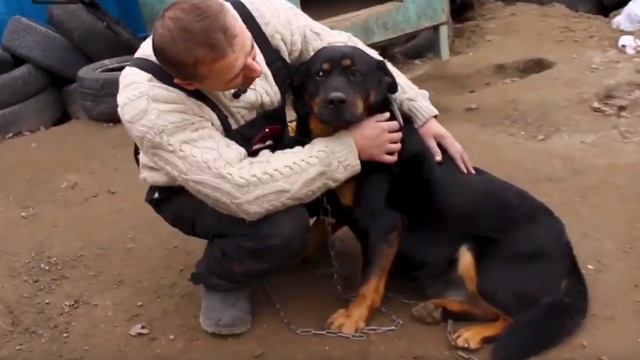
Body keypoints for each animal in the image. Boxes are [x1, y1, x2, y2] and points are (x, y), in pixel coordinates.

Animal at [292, 45, 588, 360]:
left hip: (480, 258)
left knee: (517, 316)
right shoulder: (340, 209)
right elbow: (314, 234)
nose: (336, 100)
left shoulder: (383, 225)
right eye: (319, 74)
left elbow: (369, 281)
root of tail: (569, 254)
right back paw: (437, 310)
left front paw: (353, 316)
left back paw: (472, 332)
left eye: (355, 73)